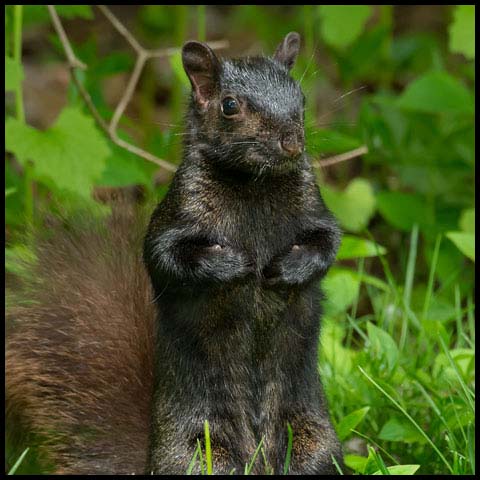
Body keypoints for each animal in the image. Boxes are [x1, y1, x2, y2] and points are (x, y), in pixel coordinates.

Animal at [4, 31, 342, 474]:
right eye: (229, 105)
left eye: (300, 98)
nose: (292, 144)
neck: (252, 184)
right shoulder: (176, 214)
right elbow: (165, 256)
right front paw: (233, 264)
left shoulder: (314, 209)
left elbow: (328, 243)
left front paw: (288, 267)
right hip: (196, 453)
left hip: (311, 443)